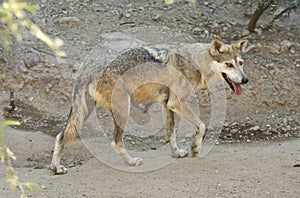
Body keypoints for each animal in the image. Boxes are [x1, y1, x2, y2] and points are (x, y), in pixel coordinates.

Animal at [51, 38, 248, 174]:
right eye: (228, 64)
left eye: (241, 63)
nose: (245, 80)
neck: (196, 62)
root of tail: (88, 66)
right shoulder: (177, 103)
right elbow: (202, 125)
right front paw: (195, 148)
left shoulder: (168, 105)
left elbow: (171, 134)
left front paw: (177, 154)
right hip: (123, 111)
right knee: (115, 142)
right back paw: (131, 162)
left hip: (84, 114)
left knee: (60, 136)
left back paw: (56, 168)